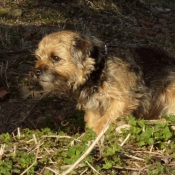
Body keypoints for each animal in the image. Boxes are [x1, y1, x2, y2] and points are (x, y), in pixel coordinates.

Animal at [33, 30, 175, 134]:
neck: (99, 70)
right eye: (38, 57)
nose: (37, 71)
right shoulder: (94, 106)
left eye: (56, 58)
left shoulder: (124, 100)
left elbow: (106, 119)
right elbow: (92, 122)